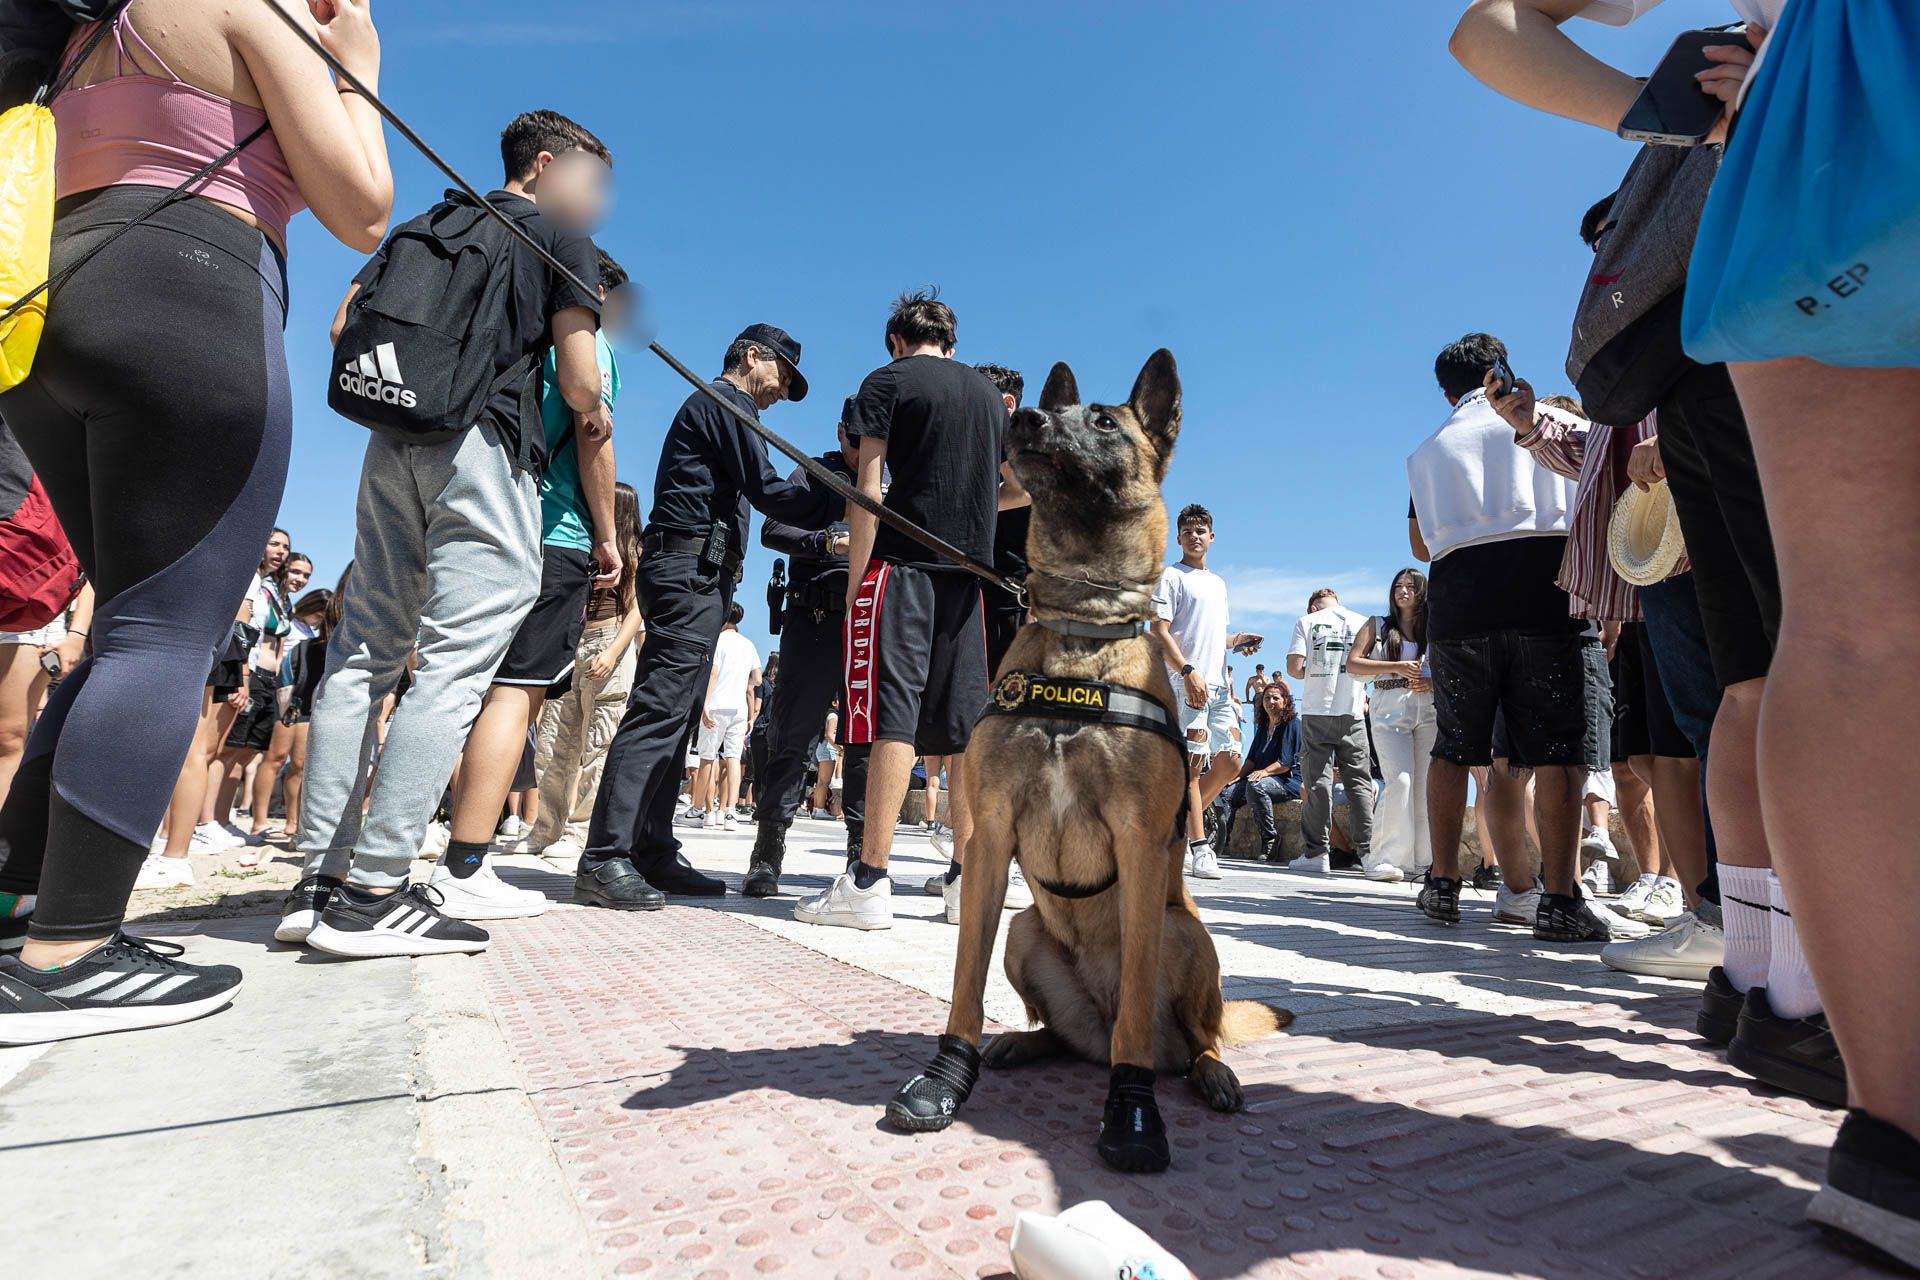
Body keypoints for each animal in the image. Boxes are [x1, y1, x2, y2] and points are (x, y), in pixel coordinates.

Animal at [883, 347, 1290, 1174]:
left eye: (1103, 420)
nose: (1026, 419)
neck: (1081, 623)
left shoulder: (1138, 845)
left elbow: (1137, 1006)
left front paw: (1131, 1114)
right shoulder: (989, 838)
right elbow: (964, 984)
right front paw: (947, 1078)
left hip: (1185, 937)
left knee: (1193, 1037)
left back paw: (1209, 1074)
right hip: (1025, 933)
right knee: (1068, 1036)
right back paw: (1027, 1045)